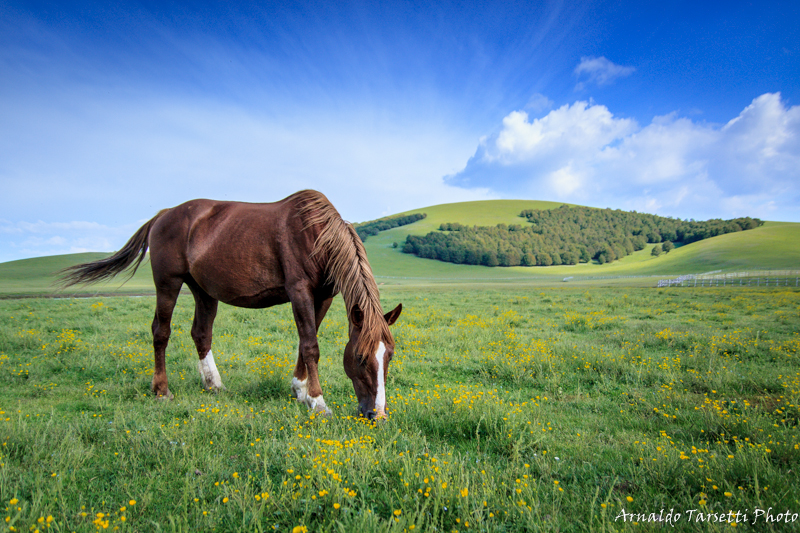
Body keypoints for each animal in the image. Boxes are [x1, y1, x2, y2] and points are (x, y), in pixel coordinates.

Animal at [59, 189, 404, 418]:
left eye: (389, 356)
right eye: (360, 358)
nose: (377, 415)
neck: (317, 235)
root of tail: (163, 214)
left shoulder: (324, 296)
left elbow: (304, 343)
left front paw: (299, 390)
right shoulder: (300, 292)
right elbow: (310, 346)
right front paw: (317, 402)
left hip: (203, 290)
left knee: (201, 333)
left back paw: (214, 384)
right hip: (168, 283)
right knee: (161, 332)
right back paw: (161, 390)